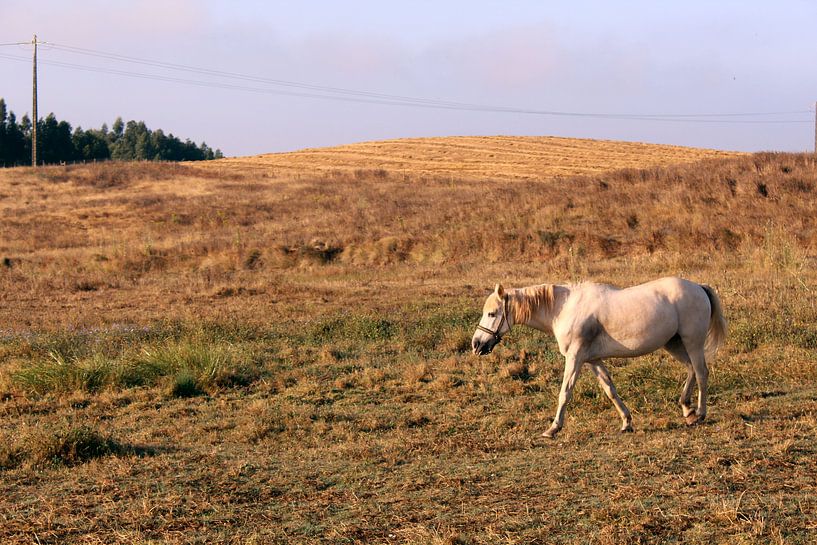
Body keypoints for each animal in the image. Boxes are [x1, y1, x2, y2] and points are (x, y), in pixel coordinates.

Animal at [471, 276, 727, 439]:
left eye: (492, 314)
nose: (477, 345)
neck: (564, 308)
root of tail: (699, 287)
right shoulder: (592, 360)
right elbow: (609, 389)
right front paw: (626, 423)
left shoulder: (574, 358)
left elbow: (565, 393)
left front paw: (553, 429)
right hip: (673, 344)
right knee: (692, 369)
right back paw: (687, 410)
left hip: (692, 342)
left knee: (701, 372)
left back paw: (700, 414)